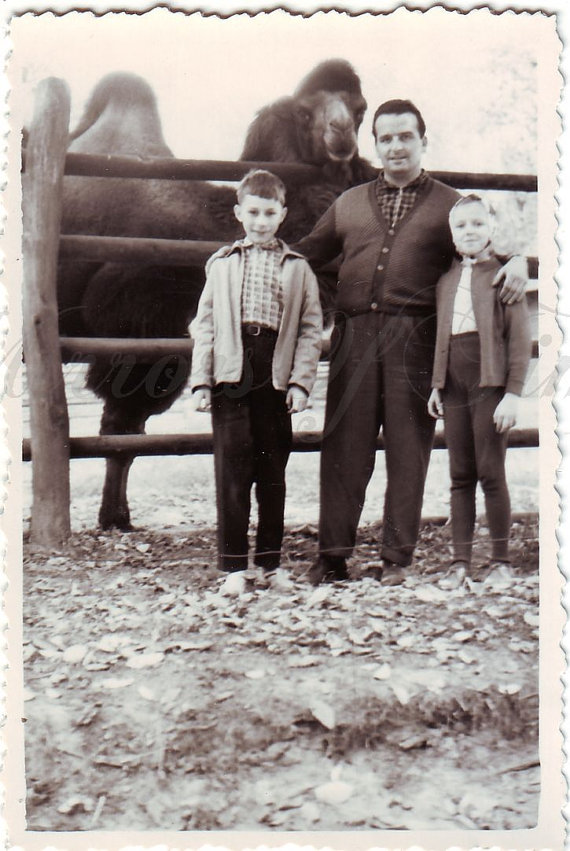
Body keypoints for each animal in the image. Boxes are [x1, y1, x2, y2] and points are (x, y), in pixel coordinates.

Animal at [55, 61, 374, 524]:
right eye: (304, 112)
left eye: (360, 109)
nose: (341, 134)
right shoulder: (137, 332)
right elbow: (121, 428)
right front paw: (113, 516)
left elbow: (129, 433)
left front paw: (117, 515)